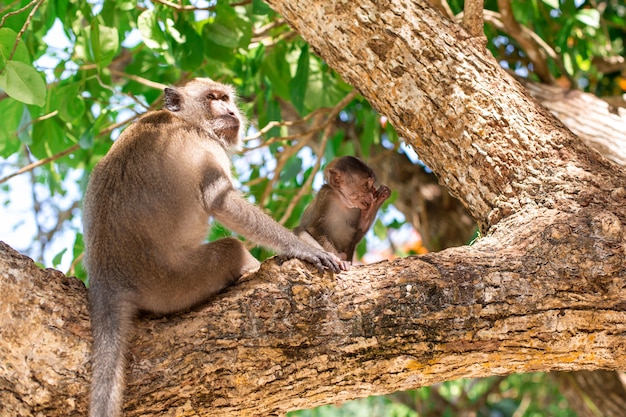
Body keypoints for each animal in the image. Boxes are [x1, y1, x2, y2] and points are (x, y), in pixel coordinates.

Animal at [82, 78, 338, 416]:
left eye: (226, 98)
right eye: (213, 98)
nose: (230, 111)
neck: (187, 121)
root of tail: (108, 277)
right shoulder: (206, 147)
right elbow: (222, 201)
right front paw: (303, 249)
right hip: (175, 282)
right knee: (230, 249)